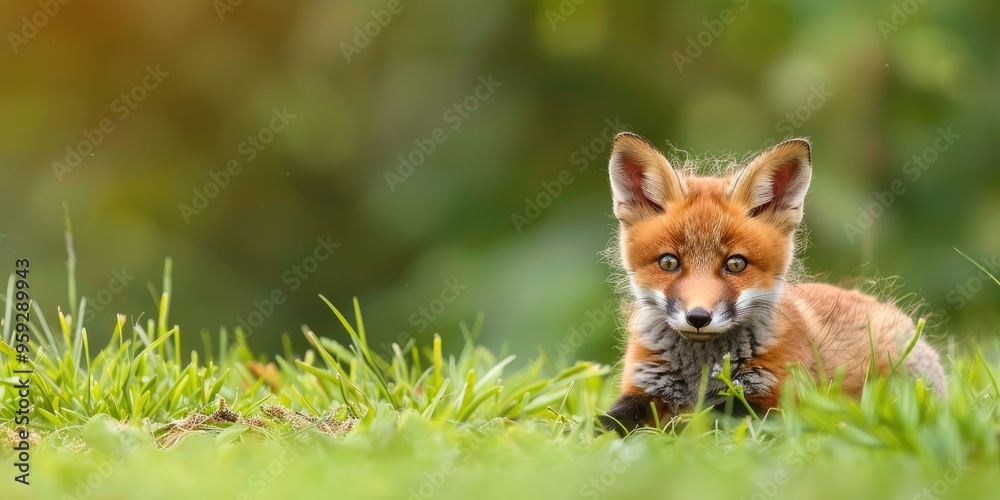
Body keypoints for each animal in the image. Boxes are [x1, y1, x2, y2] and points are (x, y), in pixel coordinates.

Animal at [598, 132, 947, 435]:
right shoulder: (642, 387)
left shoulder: (773, 402)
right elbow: (602, 423)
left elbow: (698, 422)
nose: (698, 317)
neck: (698, 372)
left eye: (735, 264)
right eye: (669, 262)